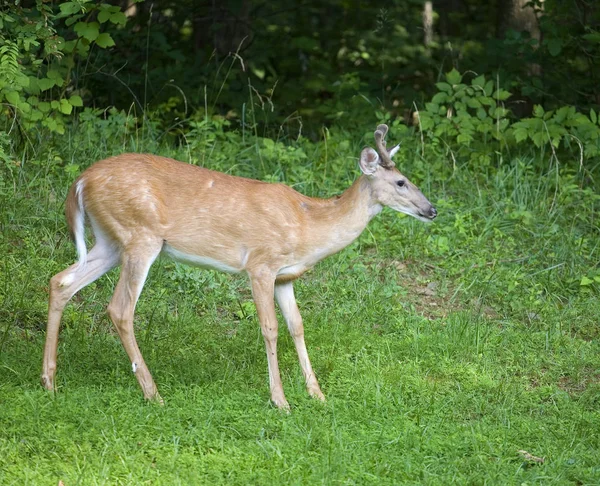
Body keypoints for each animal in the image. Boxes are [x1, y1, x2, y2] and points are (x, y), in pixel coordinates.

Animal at [41, 124, 436, 410]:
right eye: (401, 182)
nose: (431, 209)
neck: (309, 224)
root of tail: (79, 182)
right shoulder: (261, 264)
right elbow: (270, 328)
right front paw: (280, 400)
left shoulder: (286, 277)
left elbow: (297, 326)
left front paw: (317, 394)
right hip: (141, 235)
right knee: (120, 308)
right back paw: (153, 394)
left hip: (110, 241)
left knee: (61, 281)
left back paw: (50, 381)